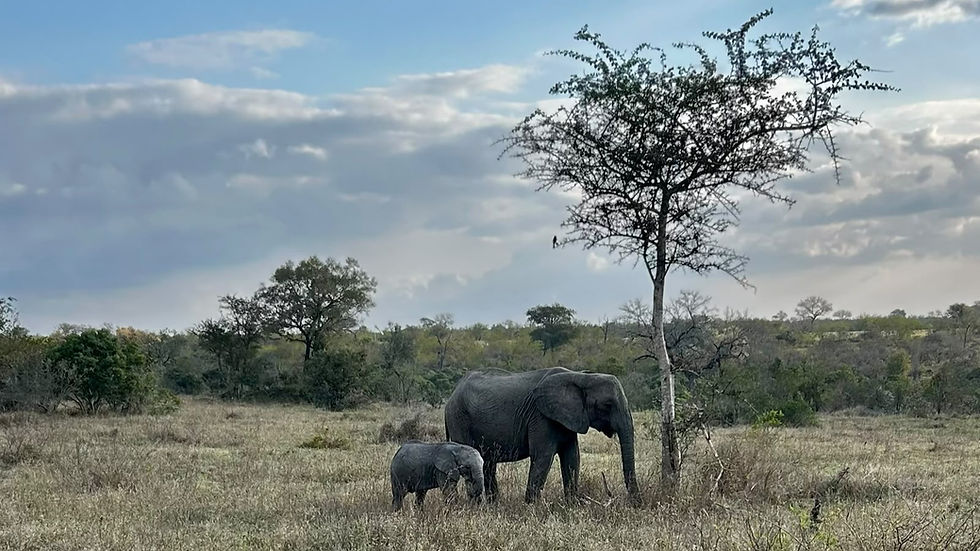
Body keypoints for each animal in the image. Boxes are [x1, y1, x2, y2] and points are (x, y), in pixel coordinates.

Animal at [445, 367, 639, 504]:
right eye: (607, 405)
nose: (635, 503)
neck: (581, 376)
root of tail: (451, 396)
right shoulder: (541, 417)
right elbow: (543, 457)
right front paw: (531, 508)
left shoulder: (568, 418)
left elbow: (572, 458)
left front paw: (572, 506)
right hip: (459, 418)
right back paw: (476, 506)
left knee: (487, 464)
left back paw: (493, 505)